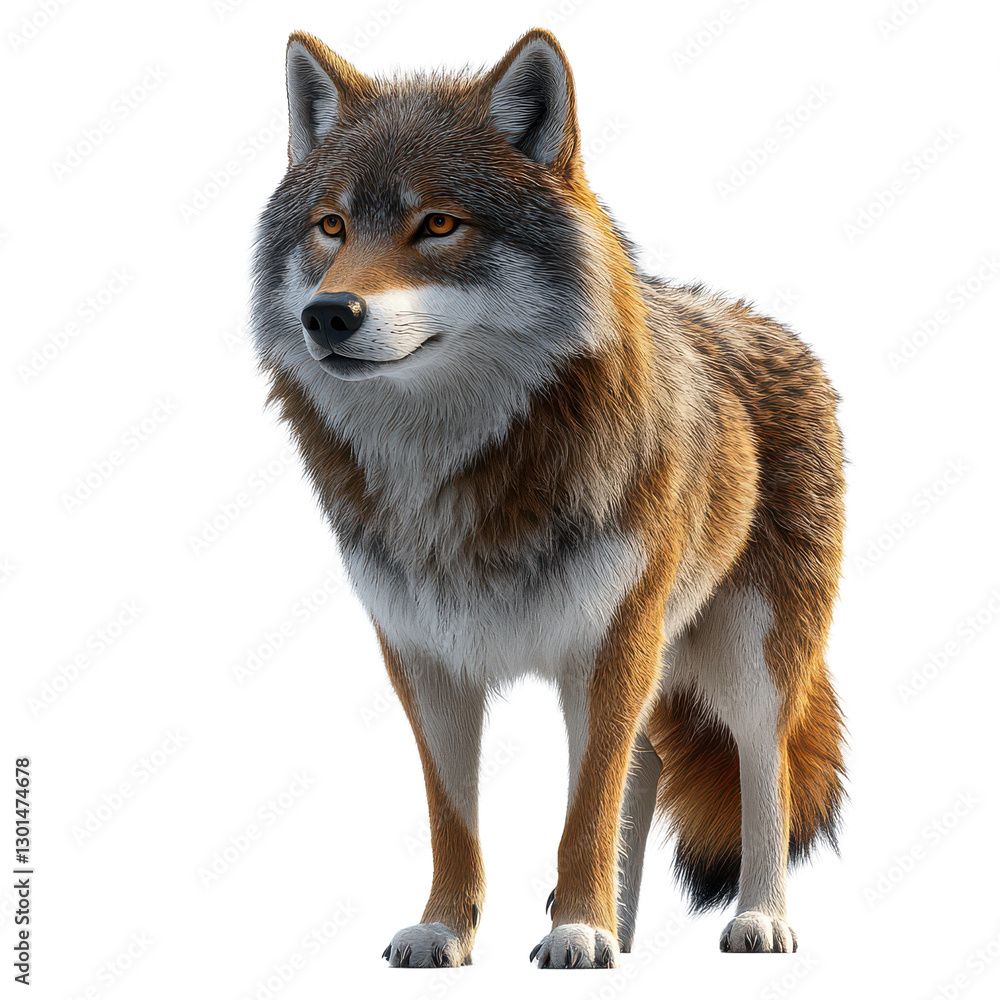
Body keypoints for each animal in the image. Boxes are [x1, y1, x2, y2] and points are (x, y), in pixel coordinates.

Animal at [249, 28, 846, 968]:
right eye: (331, 227)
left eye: (438, 224)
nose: (327, 315)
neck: (451, 477)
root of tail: (769, 325)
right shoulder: (425, 660)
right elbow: (454, 822)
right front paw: (446, 929)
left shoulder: (610, 643)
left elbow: (585, 811)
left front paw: (578, 928)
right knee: (652, 765)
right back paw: (630, 930)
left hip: (750, 661)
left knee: (766, 772)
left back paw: (758, 919)